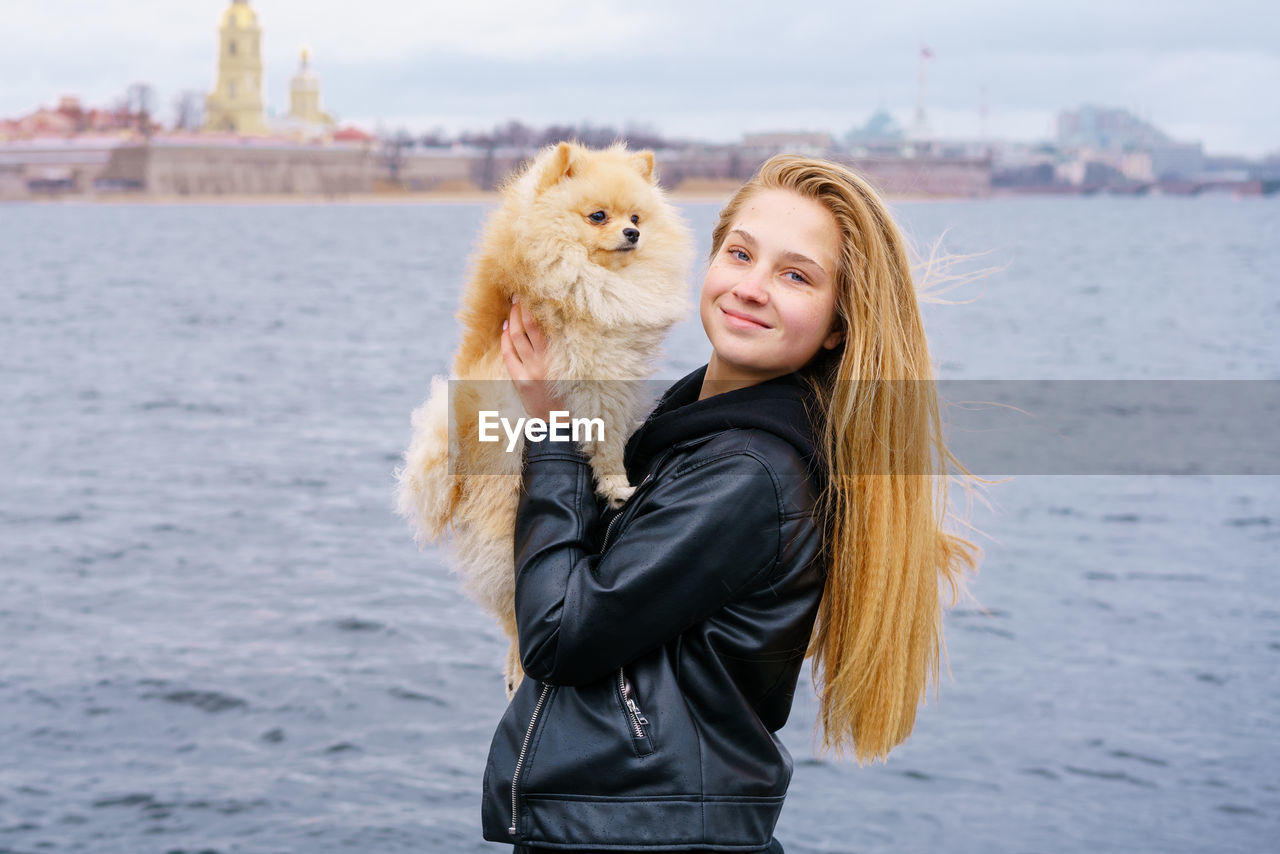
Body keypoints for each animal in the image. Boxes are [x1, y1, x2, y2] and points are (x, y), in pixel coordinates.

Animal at [399, 142, 696, 696]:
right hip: (503, 522)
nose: (633, 234)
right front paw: (618, 484)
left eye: (636, 217)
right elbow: (603, 437)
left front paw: (616, 483)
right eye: (598, 216)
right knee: (513, 610)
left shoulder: (610, 377)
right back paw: (518, 664)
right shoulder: (591, 374)